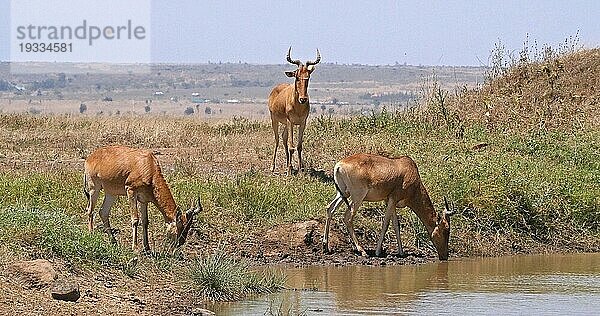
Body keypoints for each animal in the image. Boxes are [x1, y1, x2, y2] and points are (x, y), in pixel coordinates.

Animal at [324, 153, 454, 260]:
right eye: (445, 230)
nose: (445, 256)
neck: (408, 169)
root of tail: (339, 165)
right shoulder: (392, 199)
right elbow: (386, 224)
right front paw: (377, 252)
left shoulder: (390, 202)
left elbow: (396, 225)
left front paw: (401, 252)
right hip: (357, 197)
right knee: (347, 217)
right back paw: (363, 251)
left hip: (343, 193)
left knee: (330, 209)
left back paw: (326, 247)